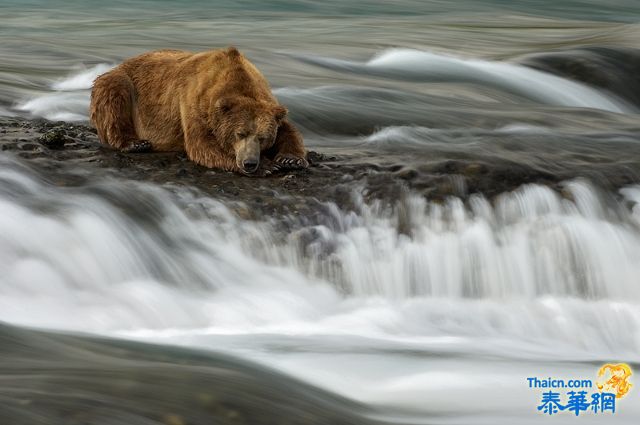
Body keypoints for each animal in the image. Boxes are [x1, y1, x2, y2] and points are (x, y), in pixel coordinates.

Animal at [89, 48, 308, 176]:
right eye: (240, 133)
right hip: (122, 83)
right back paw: (136, 143)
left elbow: (289, 130)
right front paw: (268, 166)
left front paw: (290, 159)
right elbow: (202, 145)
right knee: (114, 95)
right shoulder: (193, 101)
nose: (250, 163)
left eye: (262, 137)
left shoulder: (269, 103)